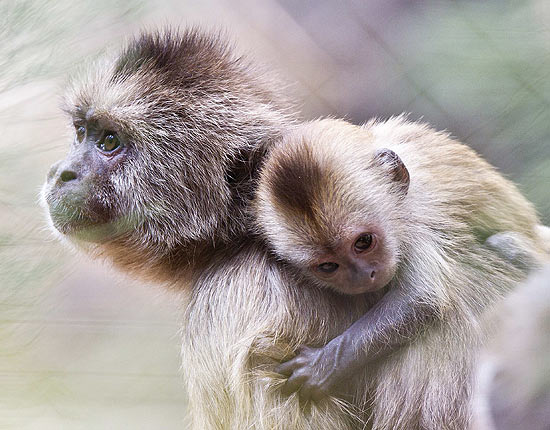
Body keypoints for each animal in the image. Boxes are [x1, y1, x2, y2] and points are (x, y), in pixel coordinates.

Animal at [256, 116, 548, 404]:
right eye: (328, 266)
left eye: (364, 242)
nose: (363, 277)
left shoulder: (415, 219)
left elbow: (421, 298)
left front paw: (325, 364)